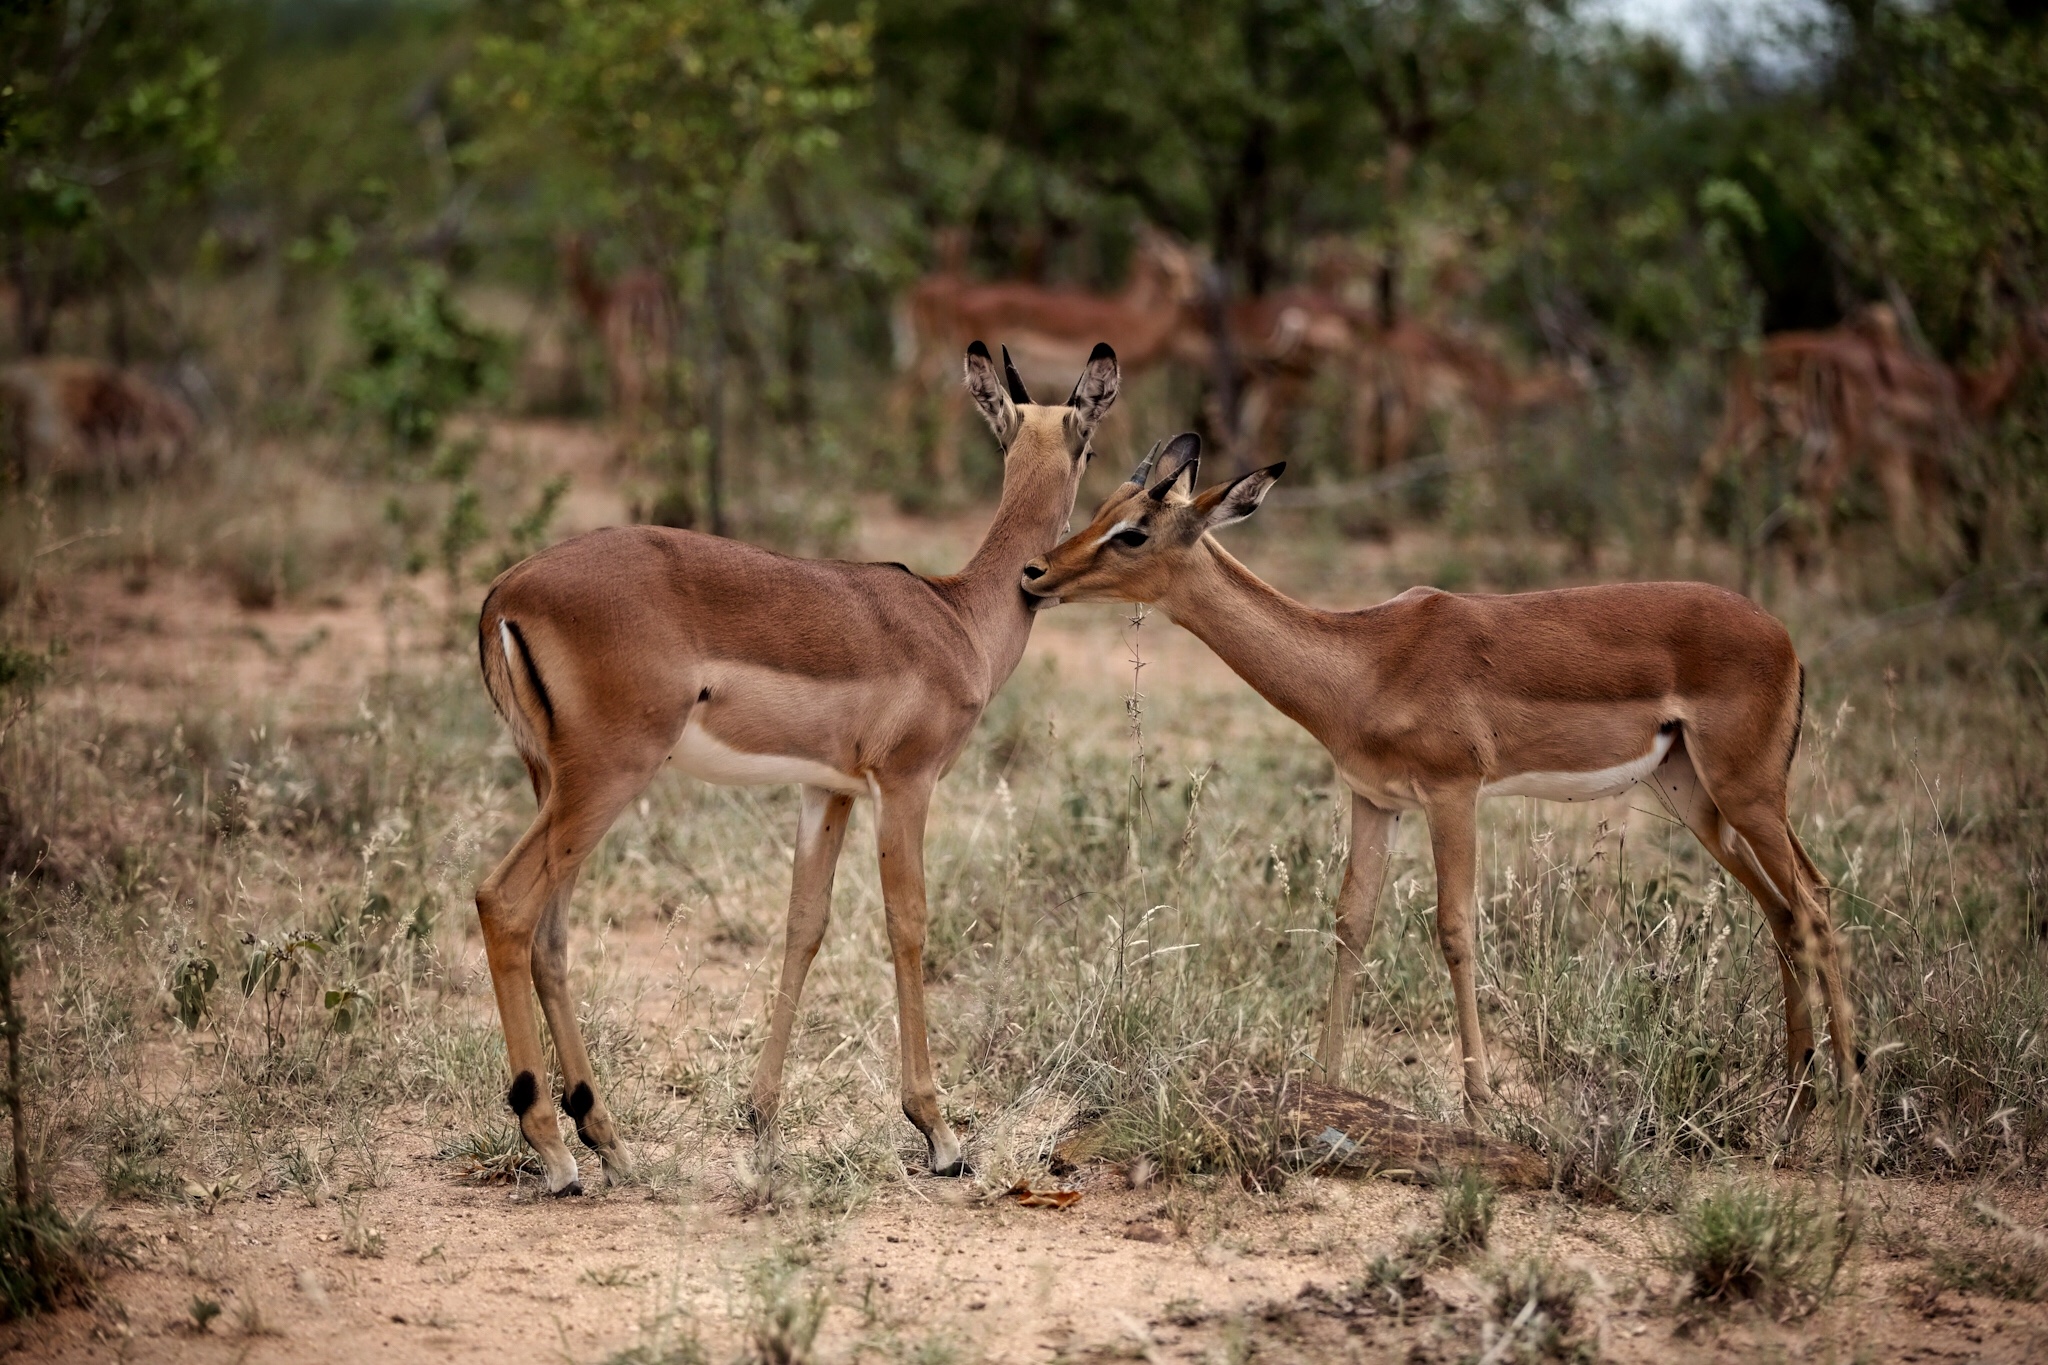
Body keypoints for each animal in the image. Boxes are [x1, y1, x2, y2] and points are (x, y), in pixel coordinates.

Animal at [475, 341, 1120, 1192]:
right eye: (1089, 446)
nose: (1053, 567)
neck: (958, 618)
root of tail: (504, 593)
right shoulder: (905, 785)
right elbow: (907, 922)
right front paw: (940, 1133)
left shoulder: (827, 790)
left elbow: (802, 925)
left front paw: (762, 1122)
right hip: (604, 778)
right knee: (503, 902)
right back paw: (553, 1150)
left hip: (555, 783)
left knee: (551, 935)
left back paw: (608, 1139)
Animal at [1020, 437, 1858, 1132]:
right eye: (1102, 506)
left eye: (1134, 529)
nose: (1035, 572)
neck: (1368, 660)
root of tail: (1784, 638)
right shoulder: (1375, 798)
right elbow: (1351, 922)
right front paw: (1325, 1080)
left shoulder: (1454, 794)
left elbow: (1455, 928)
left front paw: (1480, 1100)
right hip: (1696, 799)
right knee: (1784, 912)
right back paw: (1797, 1098)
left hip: (1748, 793)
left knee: (1814, 900)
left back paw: (1848, 1102)